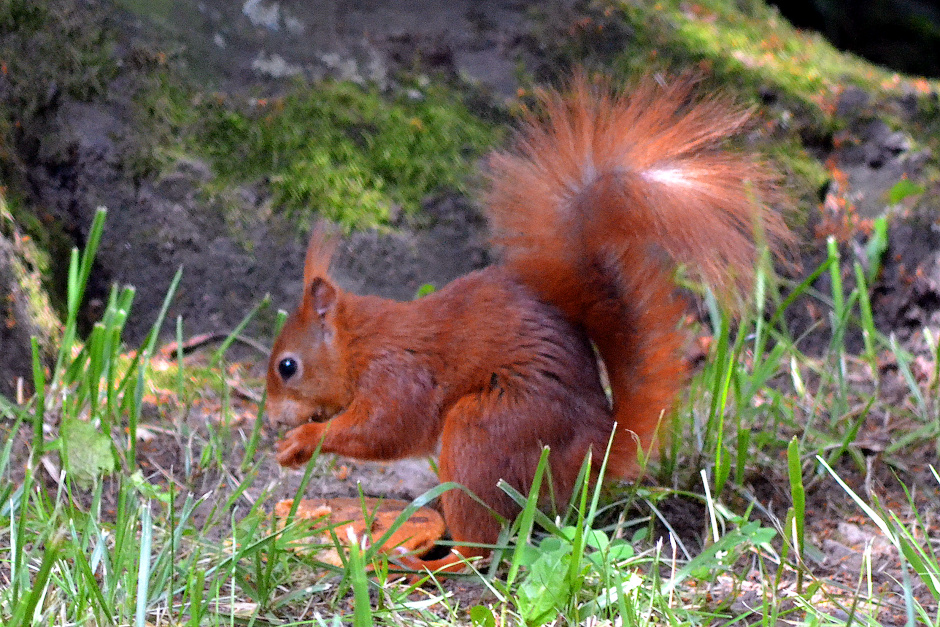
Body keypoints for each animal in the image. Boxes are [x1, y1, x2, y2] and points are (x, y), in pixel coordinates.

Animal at [265, 74, 790, 574]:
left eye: (288, 366)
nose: (270, 418)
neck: (359, 342)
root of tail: (596, 449)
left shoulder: (398, 374)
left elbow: (386, 428)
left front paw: (305, 441)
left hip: (485, 432)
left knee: (480, 546)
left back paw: (427, 564)